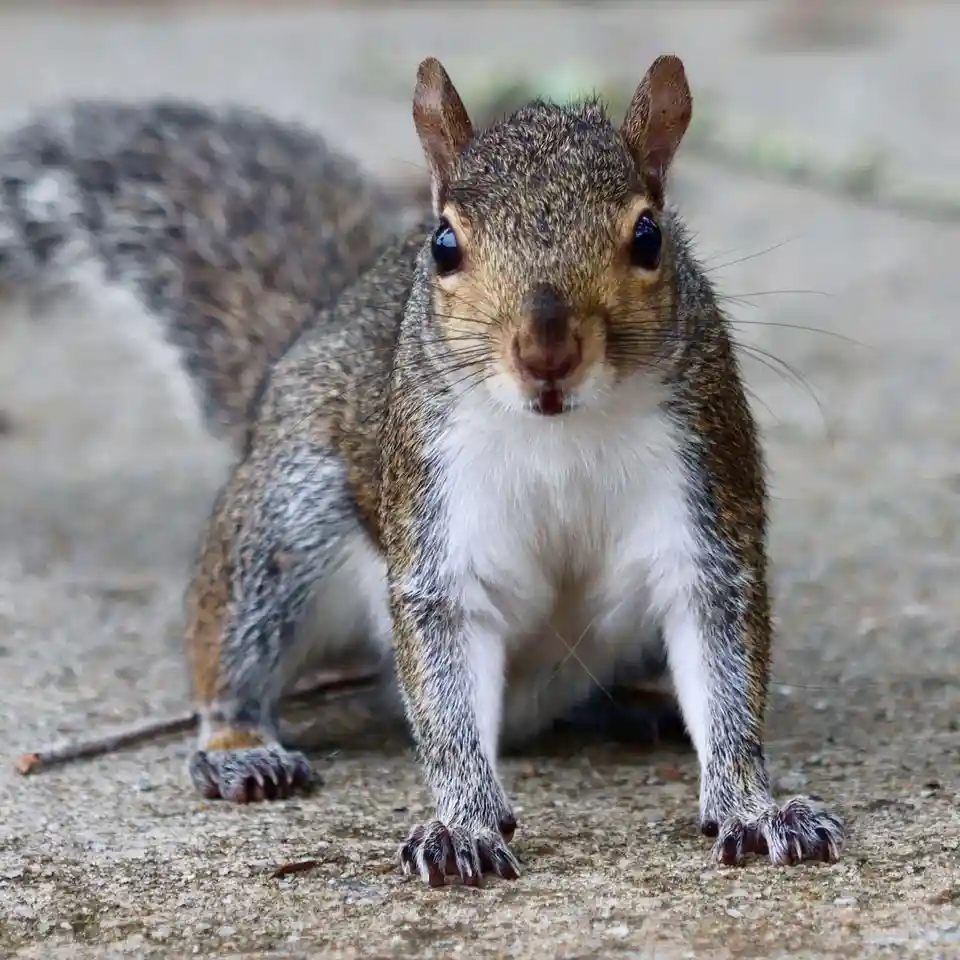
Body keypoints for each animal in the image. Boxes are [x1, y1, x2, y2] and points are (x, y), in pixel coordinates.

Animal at [182, 52, 846, 887]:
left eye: (649, 236)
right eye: (444, 244)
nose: (545, 350)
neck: (560, 431)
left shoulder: (701, 491)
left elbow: (721, 657)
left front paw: (753, 807)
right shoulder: (438, 518)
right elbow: (447, 689)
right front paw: (464, 822)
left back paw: (633, 705)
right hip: (286, 519)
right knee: (234, 646)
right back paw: (239, 749)